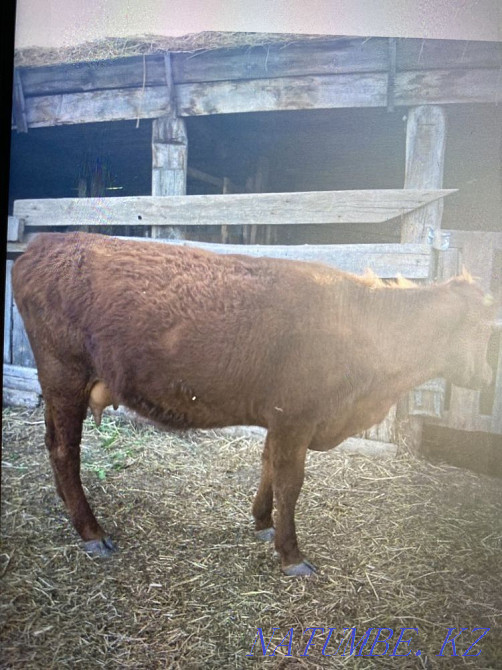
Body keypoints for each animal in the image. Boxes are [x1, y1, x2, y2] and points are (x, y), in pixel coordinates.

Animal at [12, 232, 496, 576]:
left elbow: (267, 467)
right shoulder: (296, 417)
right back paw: (92, 531)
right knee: (65, 451)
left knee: (55, 446)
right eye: (483, 329)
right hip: (64, 377)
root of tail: (42, 245)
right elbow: (290, 482)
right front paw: (291, 554)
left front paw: (262, 523)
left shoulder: (279, 417)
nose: (489, 381)